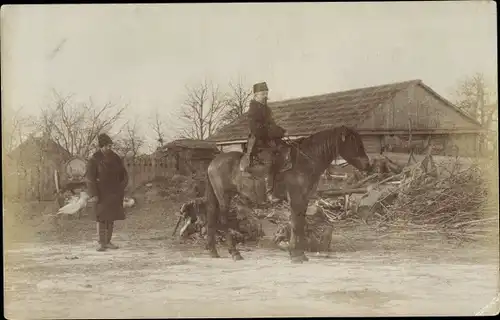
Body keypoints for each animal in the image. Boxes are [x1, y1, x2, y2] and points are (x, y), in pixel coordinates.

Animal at [178, 126, 370, 264]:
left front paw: (299, 253)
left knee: (212, 218)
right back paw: (235, 253)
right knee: (223, 220)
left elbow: (299, 224)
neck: (304, 162)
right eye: (355, 144)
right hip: (225, 196)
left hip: (217, 197)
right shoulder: (296, 198)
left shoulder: (304, 200)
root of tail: (214, 161)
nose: (368, 165)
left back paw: (213, 251)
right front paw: (296, 255)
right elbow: (296, 225)